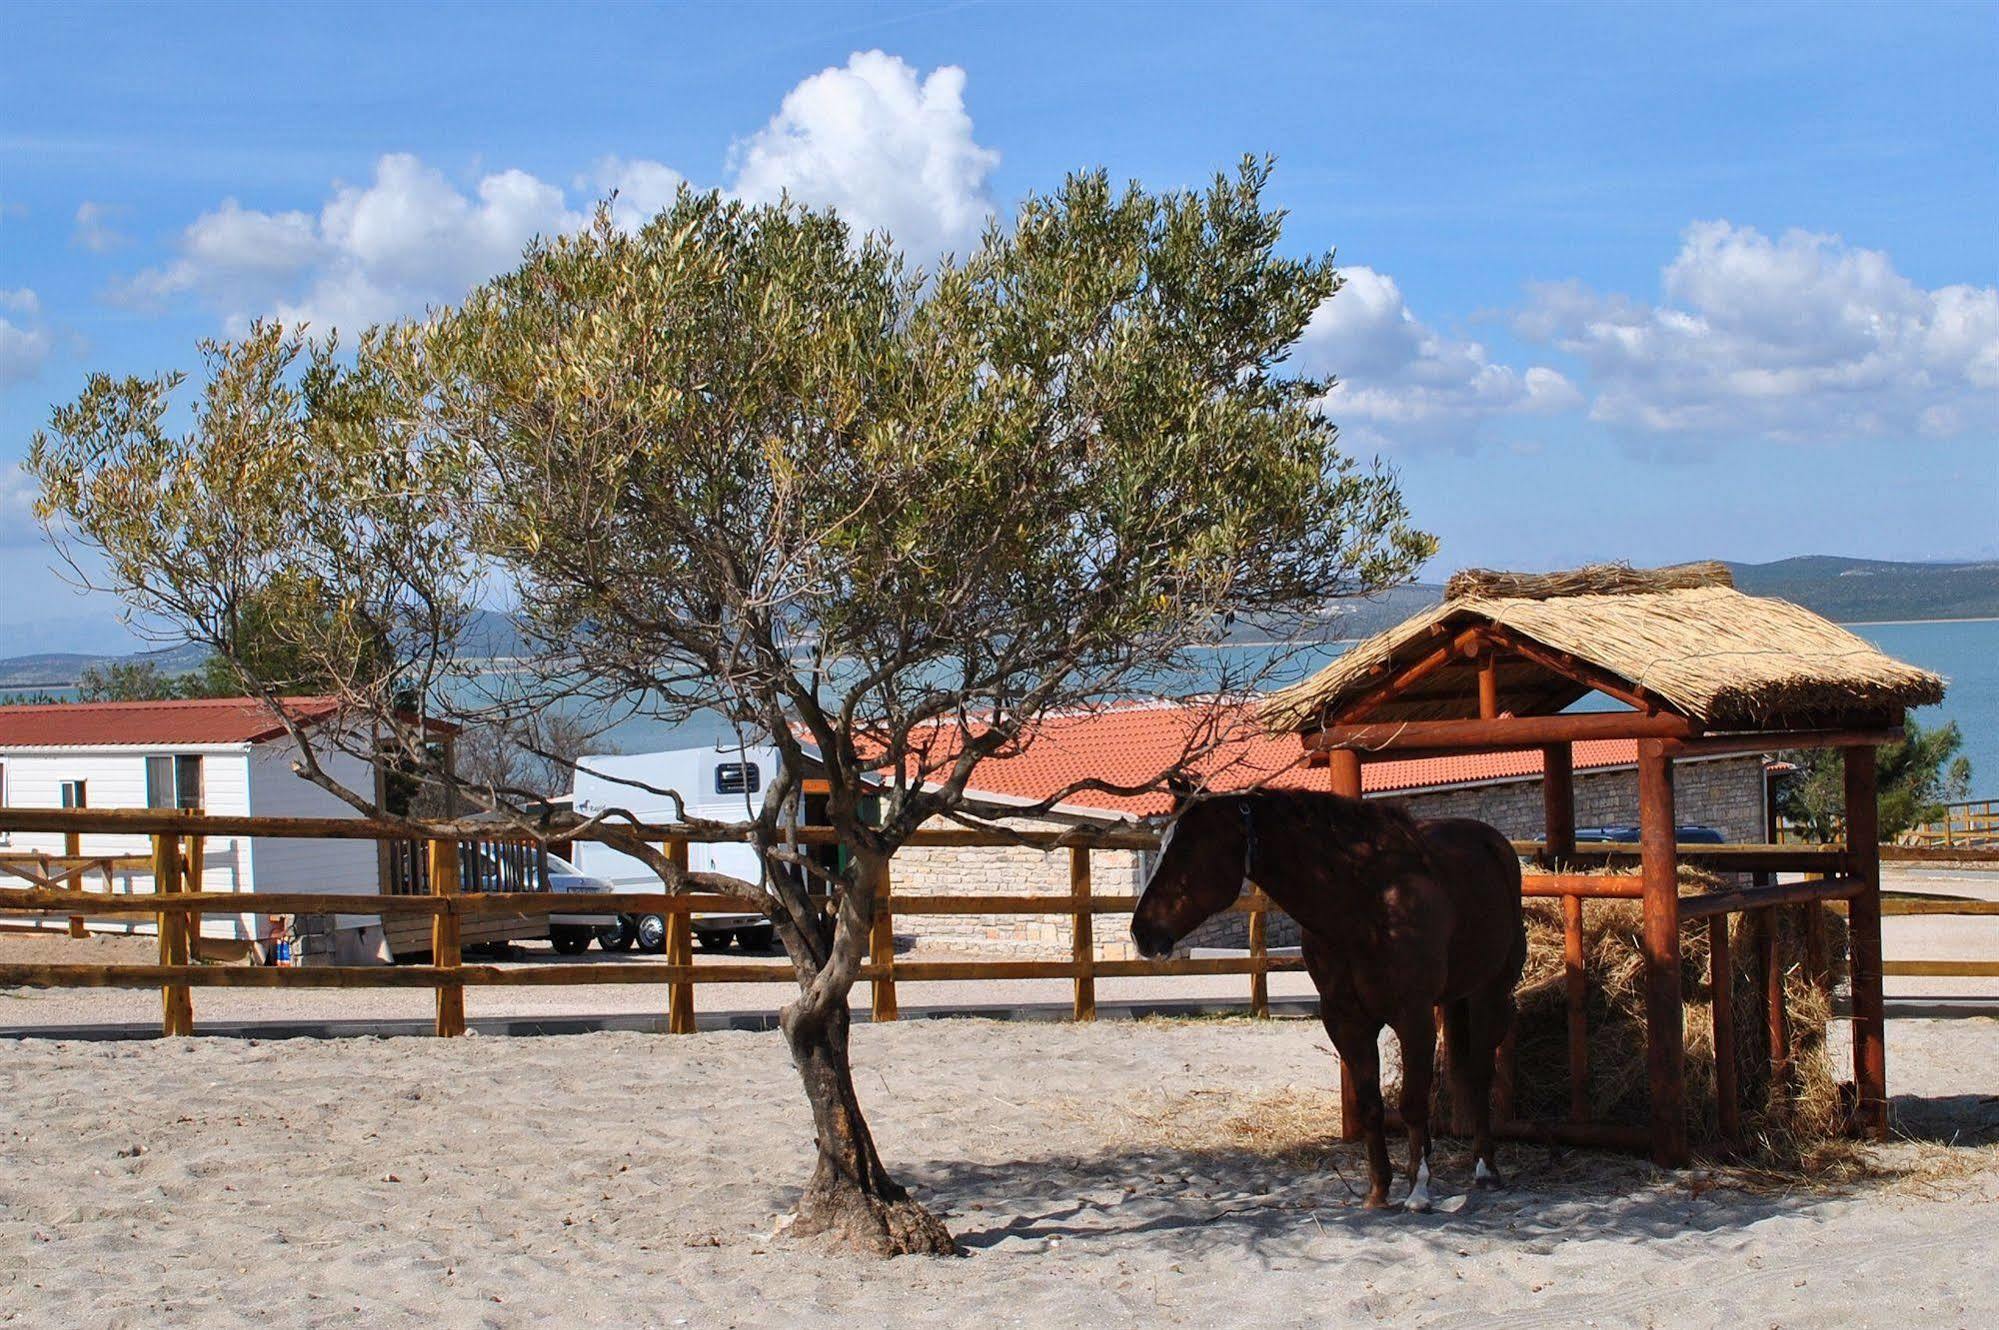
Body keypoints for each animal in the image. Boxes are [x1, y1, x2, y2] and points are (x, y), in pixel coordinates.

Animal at [1135, 788, 1519, 1216]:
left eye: (1186, 850)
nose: (1141, 933)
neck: (1364, 906)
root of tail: (1494, 843)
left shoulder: (1412, 1016)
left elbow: (1412, 1102)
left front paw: (1418, 1190)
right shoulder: (1344, 1020)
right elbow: (1370, 1104)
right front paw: (1378, 1191)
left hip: (1490, 993)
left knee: (1480, 1074)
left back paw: (1486, 1169)